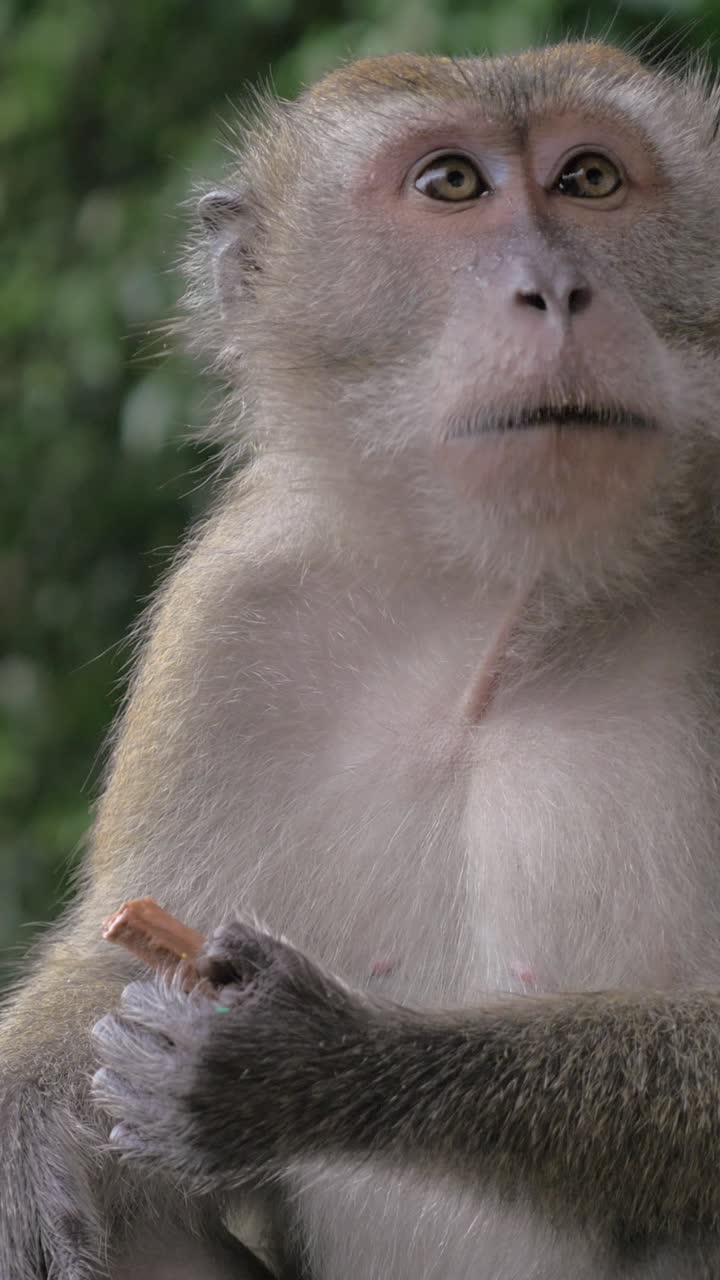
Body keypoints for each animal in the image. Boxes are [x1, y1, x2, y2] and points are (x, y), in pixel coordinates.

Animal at [5, 35, 720, 1280]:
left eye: (589, 179)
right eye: (452, 185)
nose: (558, 290)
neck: (493, 623)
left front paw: (305, 1062)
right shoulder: (228, 614)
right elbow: (117, 956)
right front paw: (24, 1099)